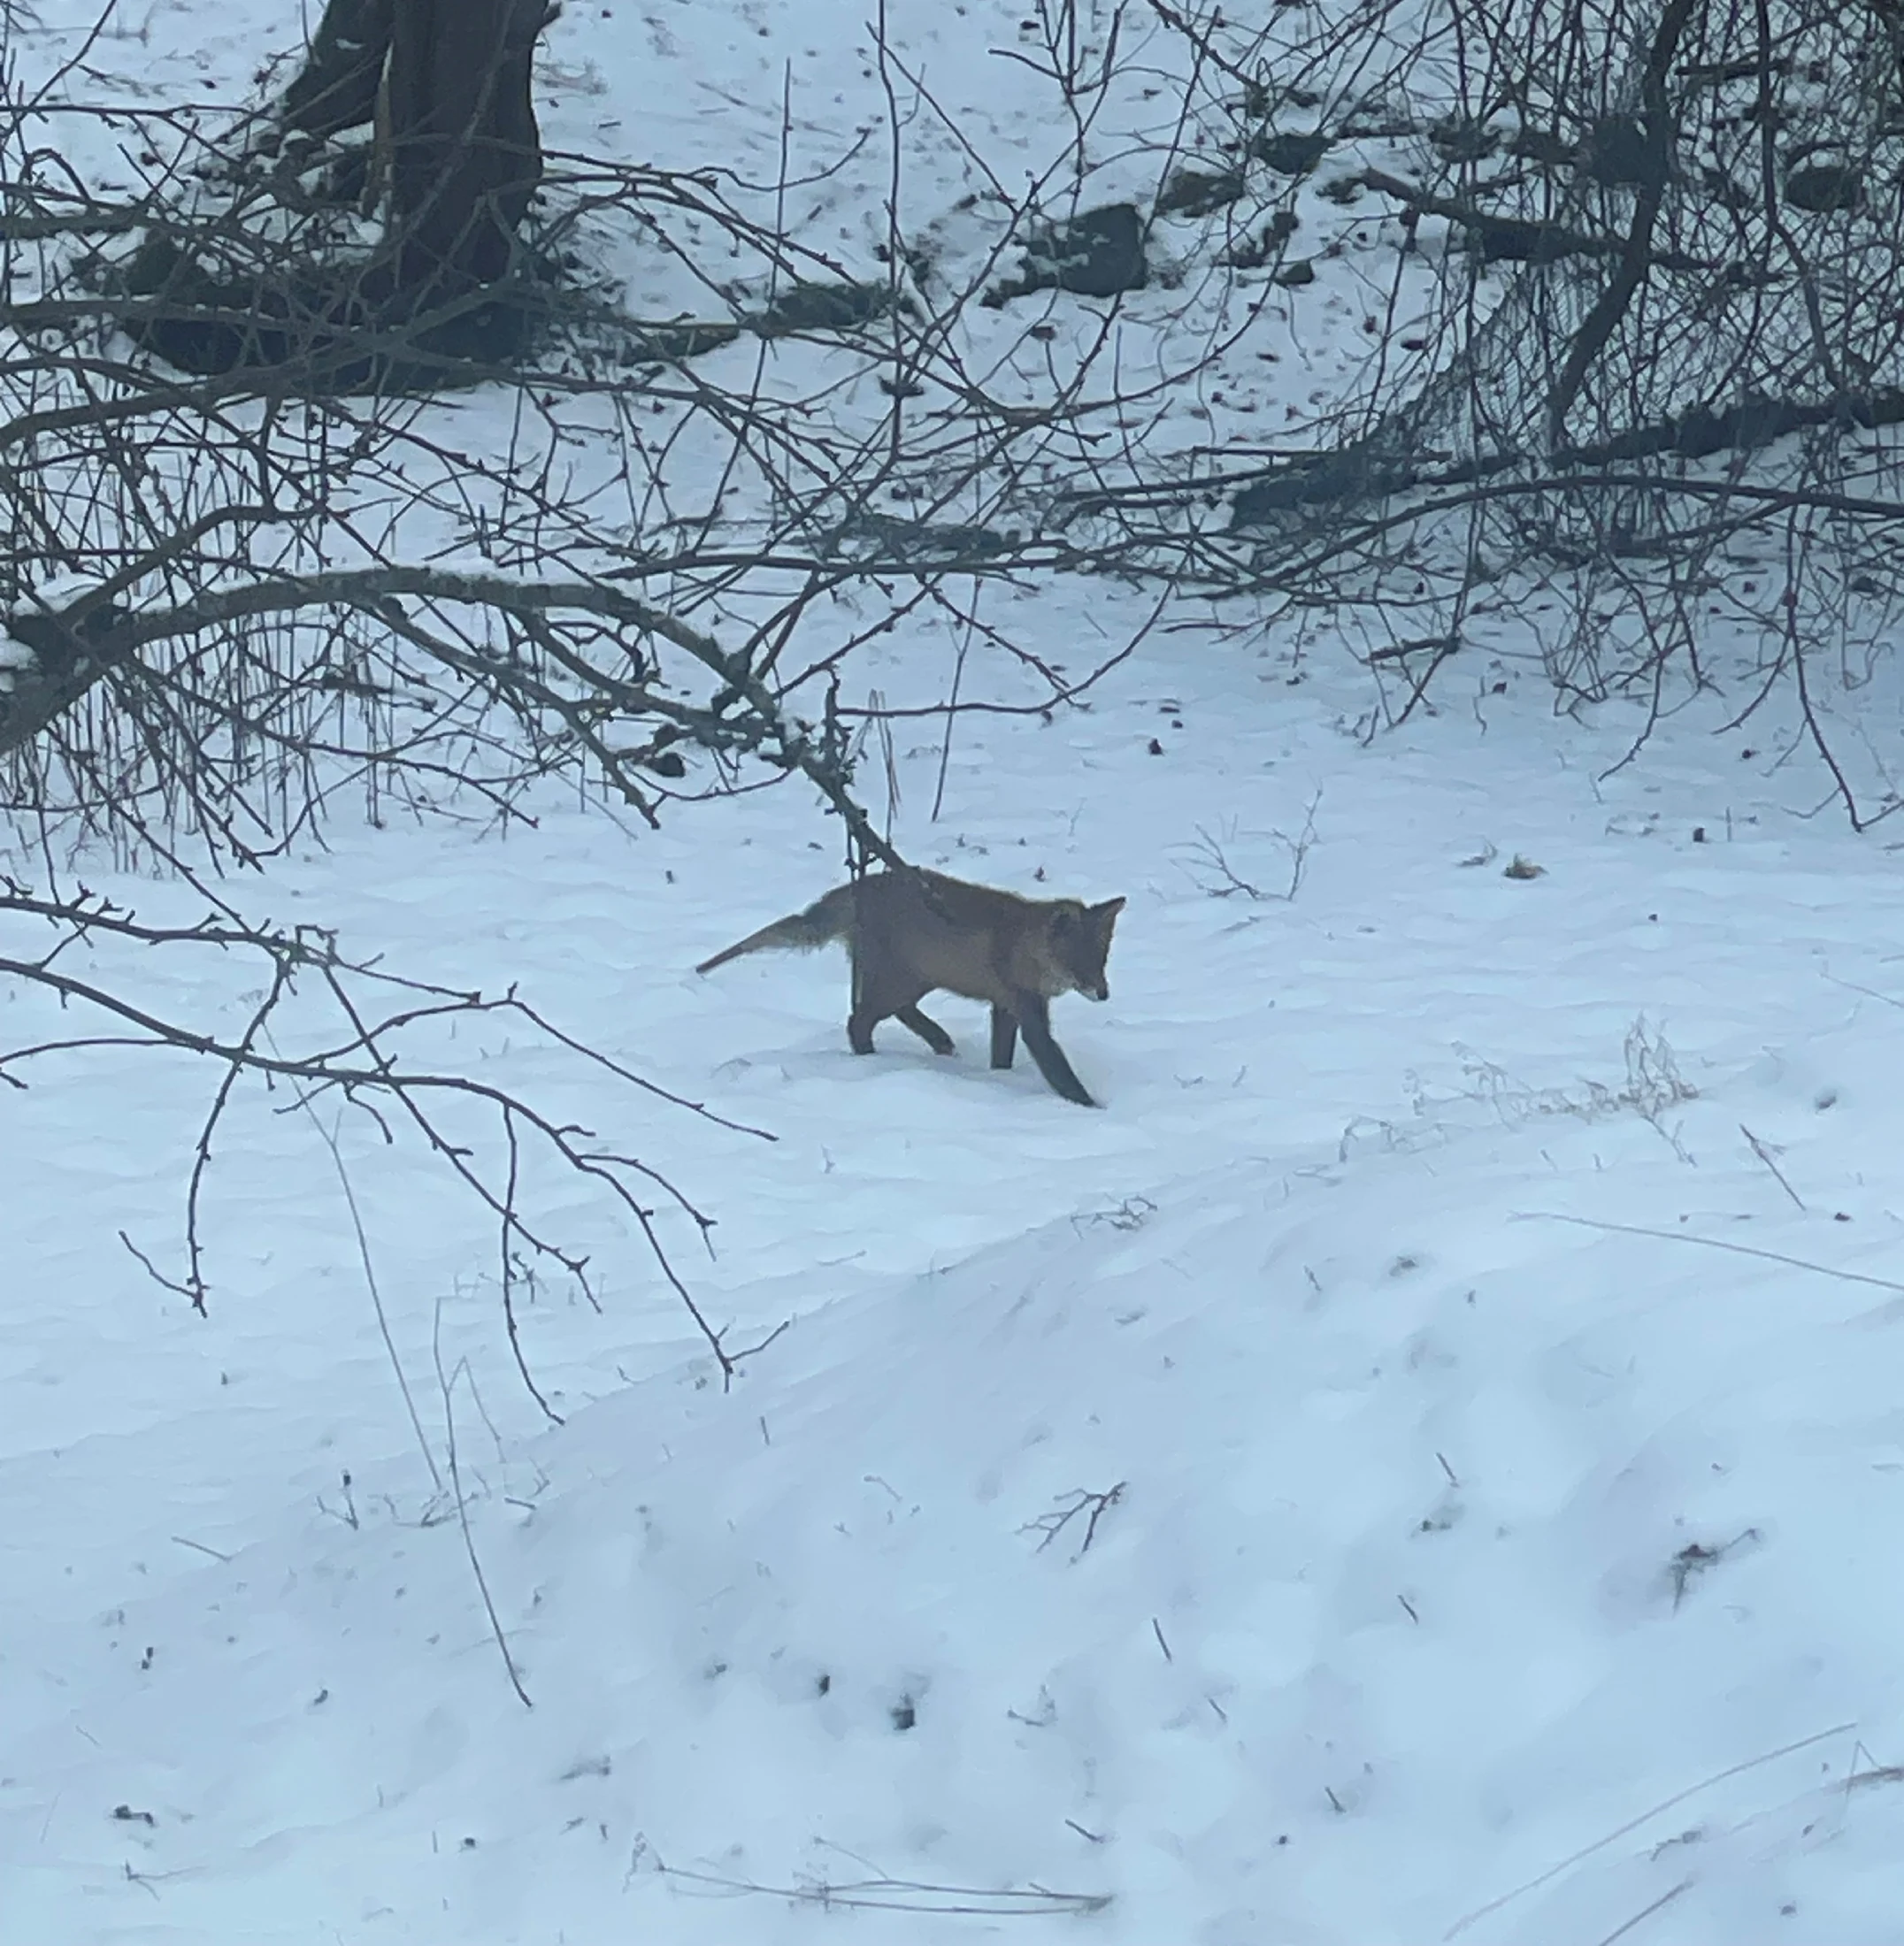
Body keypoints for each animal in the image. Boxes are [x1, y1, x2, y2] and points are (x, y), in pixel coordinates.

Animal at [693, 871, 1113, 1113]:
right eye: (1078, 964)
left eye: (1103, 960)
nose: (1105, 994)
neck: (1024, 948)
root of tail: (858, 886)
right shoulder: (1027, 1011)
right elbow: (1057, 1066)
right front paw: (1091, 1108)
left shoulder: (1005, 1006)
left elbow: (1002, 1055)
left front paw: (1000, 1078)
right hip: (901, 980)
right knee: (858, 1020)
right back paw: (871, 1059)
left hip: (913, 978)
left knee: (896, 1012)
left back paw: (939, 1041)